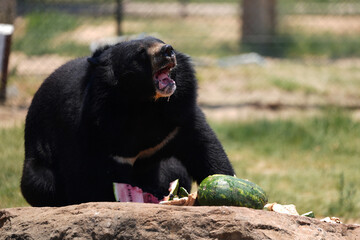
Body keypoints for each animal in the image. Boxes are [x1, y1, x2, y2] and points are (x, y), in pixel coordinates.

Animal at [20, 37, 233, 206]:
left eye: (160, 41)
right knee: (39, 182)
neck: (144, 103)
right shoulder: (98, 131)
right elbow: (87, 179)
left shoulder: (179, 116)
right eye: (140, 53)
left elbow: (204, 148)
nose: (168, 50)